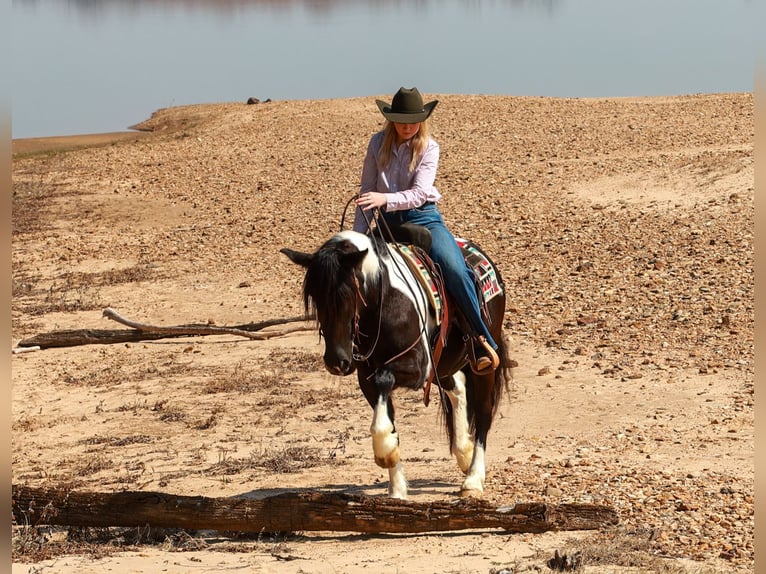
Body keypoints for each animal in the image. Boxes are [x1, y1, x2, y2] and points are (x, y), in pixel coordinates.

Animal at [281, 230, 511, 498]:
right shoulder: (366, 378)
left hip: (483, 365)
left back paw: (473, 478)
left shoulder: (417, 368)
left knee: (483, 412)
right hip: (444, 364)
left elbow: (385, 383)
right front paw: (397, 487)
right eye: (315, 298)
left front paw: (385, 452)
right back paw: (463, 452)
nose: (336, 361)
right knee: (458, 387)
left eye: (347, 295)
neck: (384, 301)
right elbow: (387, 417)